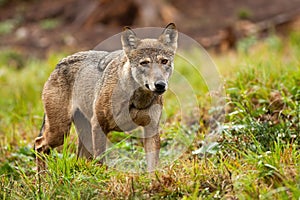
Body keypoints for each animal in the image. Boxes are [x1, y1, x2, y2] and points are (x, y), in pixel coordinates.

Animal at [34, 22, 177, 172]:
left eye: (164, 61)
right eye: (144, 63)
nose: (160, 85)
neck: (137, 100)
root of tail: (58, 63)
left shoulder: (151, 130)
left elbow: (152, 169)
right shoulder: (99, 126)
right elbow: (101, 163)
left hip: (81, 138)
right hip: (61, 132)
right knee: (38, 144)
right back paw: (42, 178)